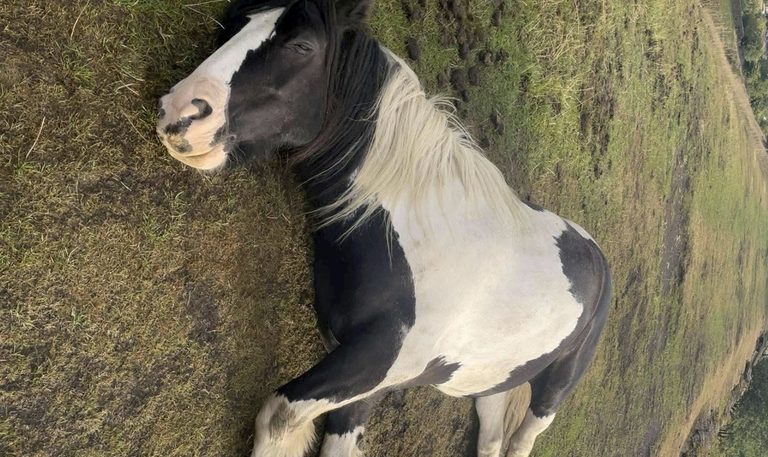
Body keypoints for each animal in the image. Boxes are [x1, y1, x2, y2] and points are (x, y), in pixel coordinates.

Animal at [156, 1, 612, 456]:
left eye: (302, 45)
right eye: (236, 21)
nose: (180, 112)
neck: (414, 236)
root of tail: (596, 257)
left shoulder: (375, 362)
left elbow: (278, 417)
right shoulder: (363, 377)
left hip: (554, 390)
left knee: (522, 438)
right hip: (492, 384)